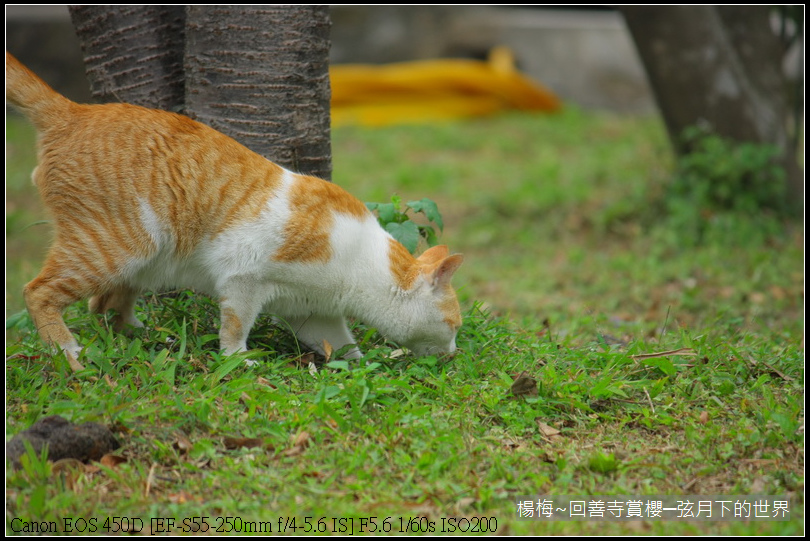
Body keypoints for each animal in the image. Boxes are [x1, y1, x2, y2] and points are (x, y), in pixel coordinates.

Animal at [4, 51, 460, 372]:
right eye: (453, 326)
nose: (455, 353)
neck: (360, 263)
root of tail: (74, 111)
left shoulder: (314, 313)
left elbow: (343, 344)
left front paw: (363, 365)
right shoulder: (243, 275)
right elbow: (236, 325)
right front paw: (238, 359)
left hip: (135, 263)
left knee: (103, 307)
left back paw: (140, 336)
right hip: (119, 245)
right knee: (38, 292)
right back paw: (66, 350)